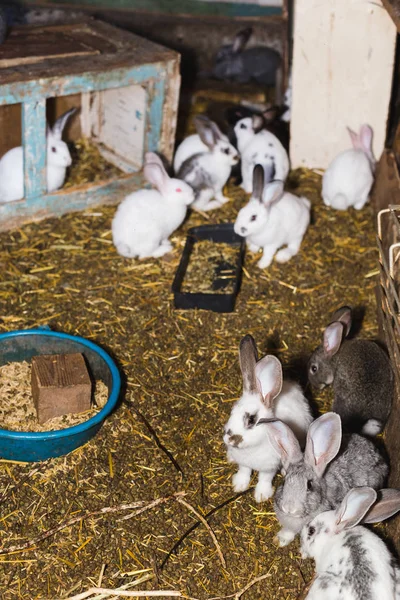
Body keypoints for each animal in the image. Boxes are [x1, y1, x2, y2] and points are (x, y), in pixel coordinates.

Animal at [223, 336, 314, 504]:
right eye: (231, 411)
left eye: (251, 420)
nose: (229, 440)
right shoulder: (244, 463)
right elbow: (244, 472)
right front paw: (238, 485)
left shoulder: (269, 467)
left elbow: (264, 479)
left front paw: (261, 495)